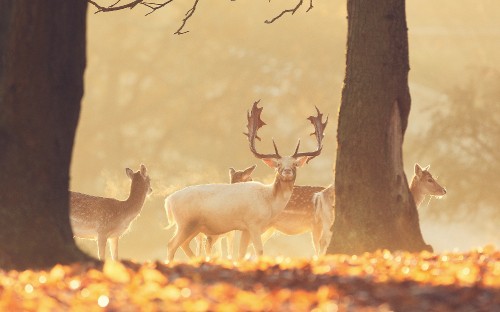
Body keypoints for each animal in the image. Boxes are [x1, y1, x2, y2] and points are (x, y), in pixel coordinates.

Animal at [165, 100, 328, 260]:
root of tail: (168, 201)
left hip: (195, 227)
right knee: (172, 244)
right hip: (186, 223)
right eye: (278, 165)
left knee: (185, 245)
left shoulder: (246, 229)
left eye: (295, 164)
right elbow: (259, 251)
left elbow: (241, 253)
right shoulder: (253, 223)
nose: (287, 171)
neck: (269, 202)